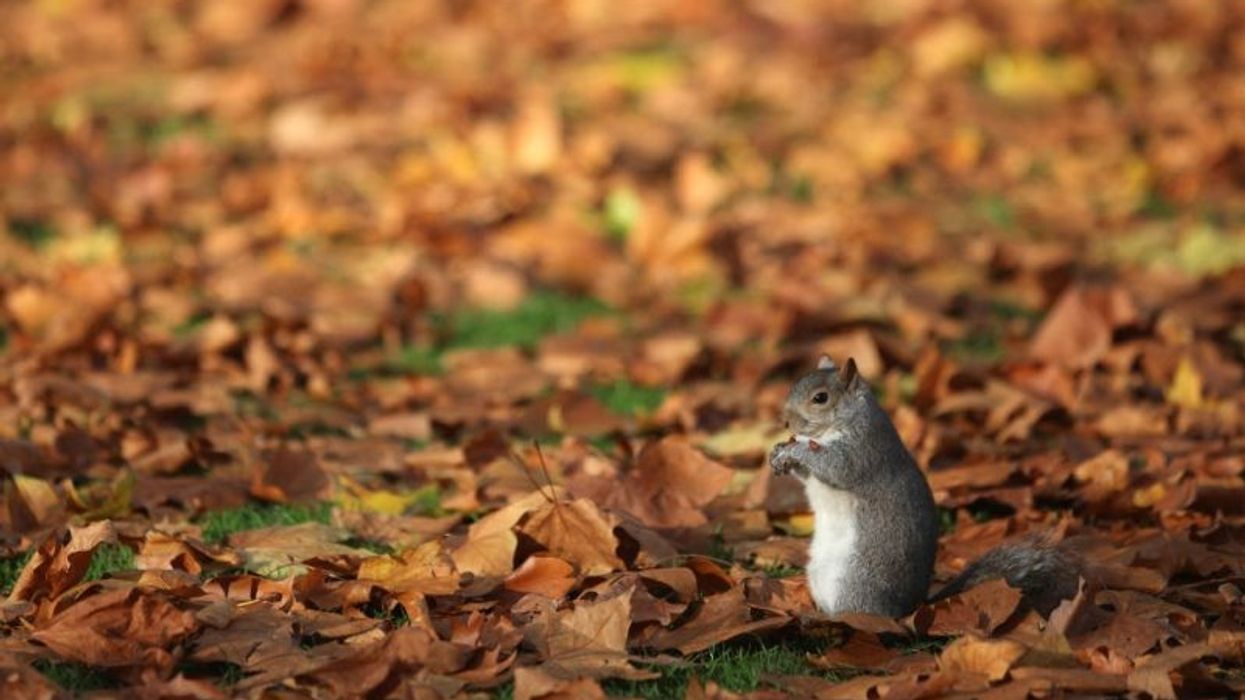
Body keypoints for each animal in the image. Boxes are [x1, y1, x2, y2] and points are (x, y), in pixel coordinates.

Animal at [769, 355, 1080, 618]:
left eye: (820, 398)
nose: (785, 421)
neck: (830, 431)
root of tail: (911, 606)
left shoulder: (864, 450)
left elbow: (837, 467)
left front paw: (796, 451)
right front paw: (779, 452)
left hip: (855, 582)